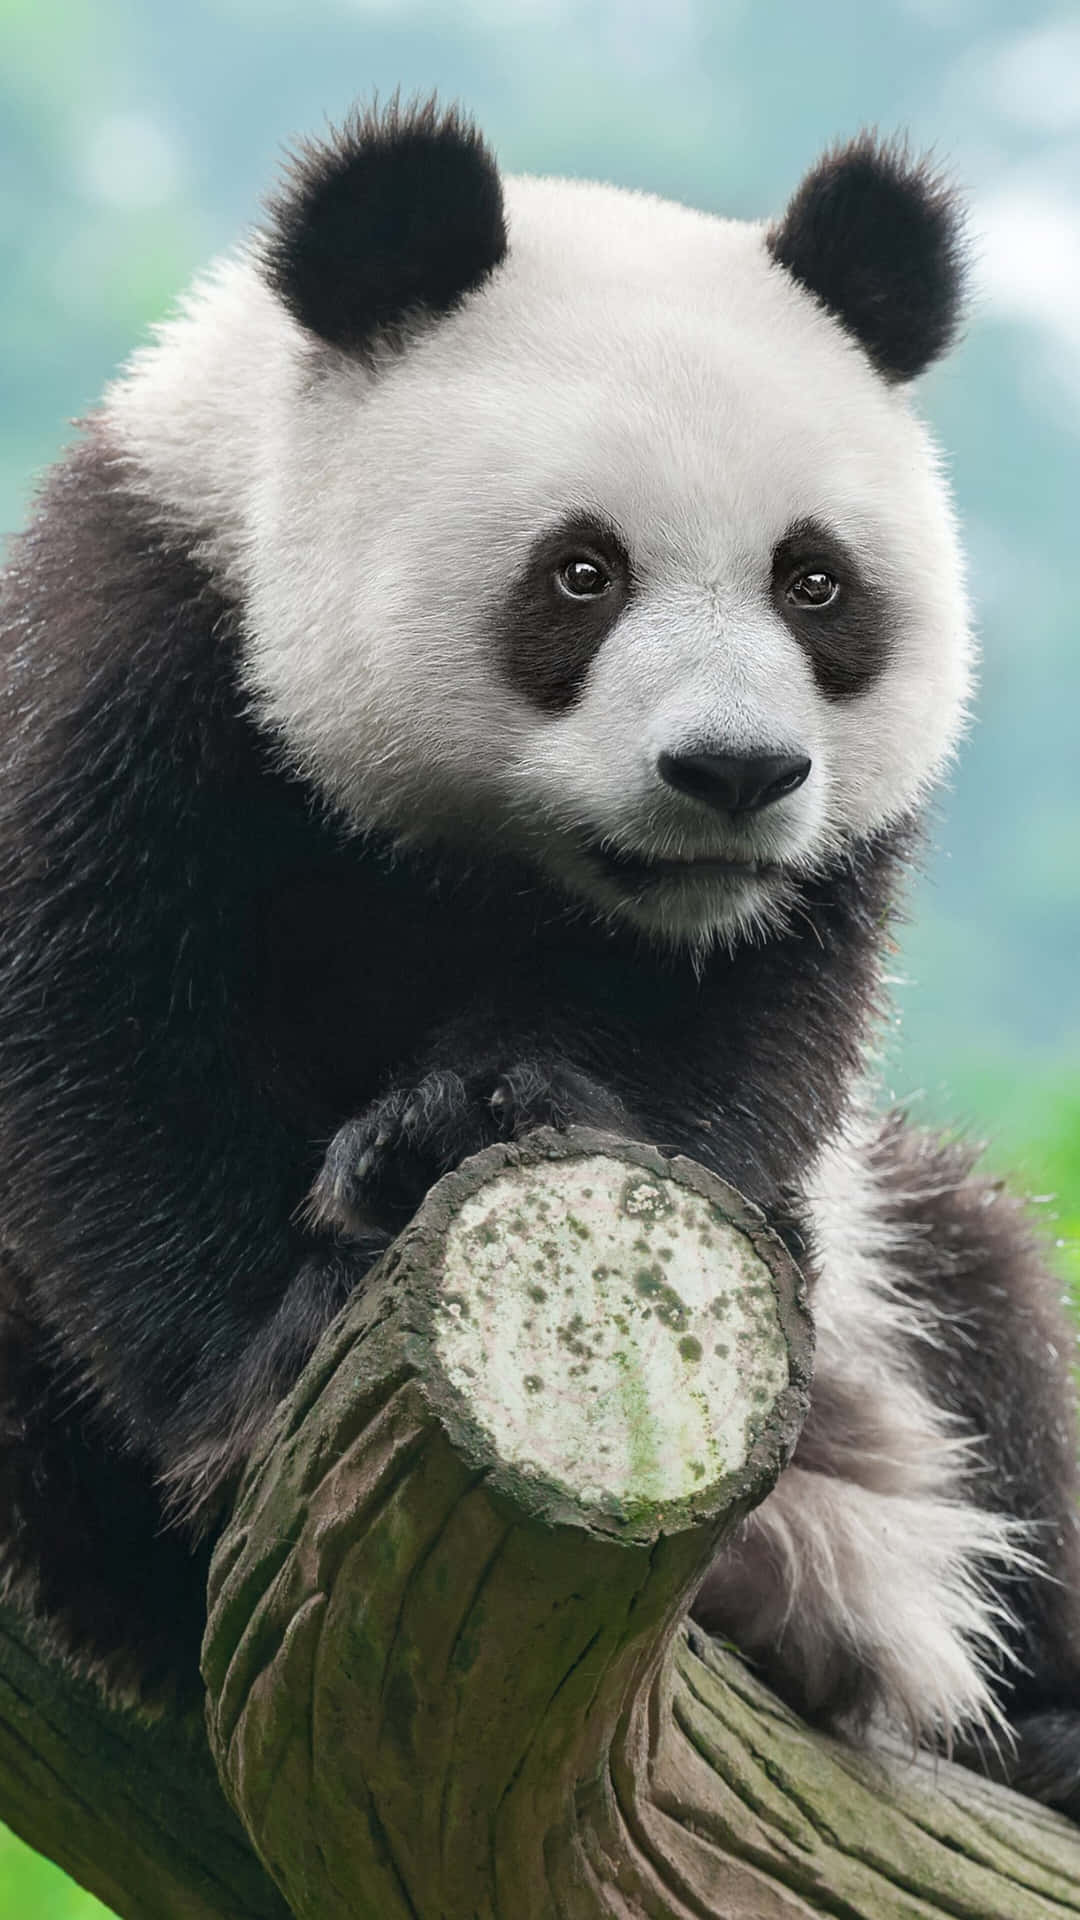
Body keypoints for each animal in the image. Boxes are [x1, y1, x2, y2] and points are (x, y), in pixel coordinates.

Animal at [2, 101, 1076, 1812]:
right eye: (583, 571)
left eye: (814, 581)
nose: (733, 772)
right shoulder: (145, 647)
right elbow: (105, 1047)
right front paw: (271, 1357)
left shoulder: (800, 890)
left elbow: (723, 1040)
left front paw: (472, 1115)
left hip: (899, 1312)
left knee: (996, 1326)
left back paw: (1037, 1728)